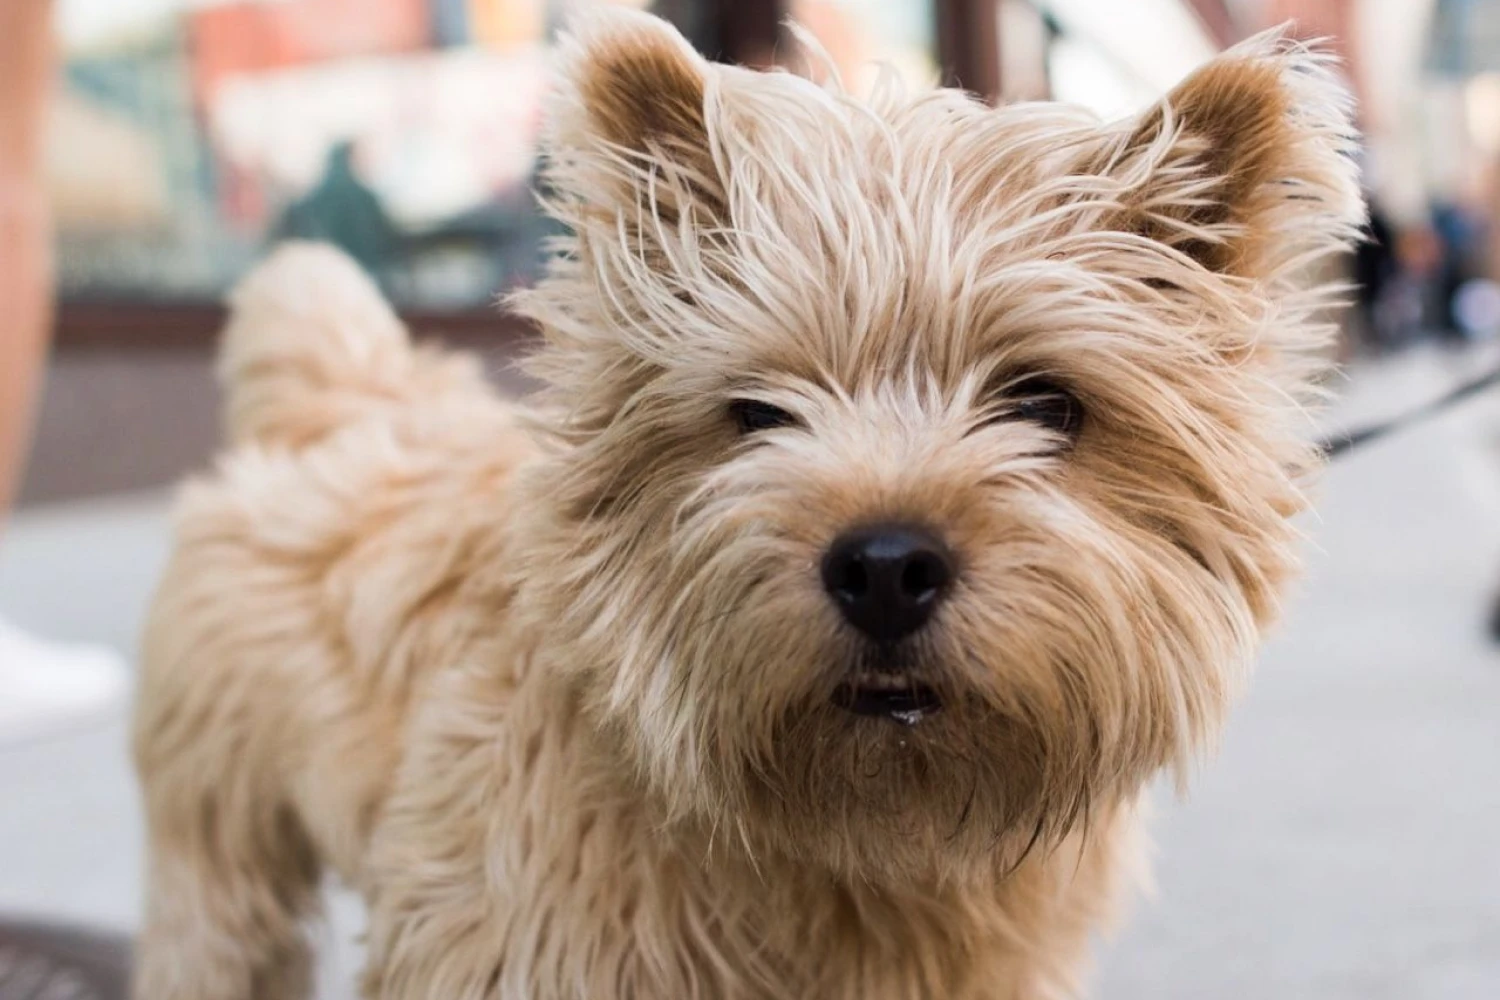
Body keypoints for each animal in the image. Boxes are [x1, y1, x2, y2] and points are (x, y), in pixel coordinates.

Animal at [135, 9, 1368, 1000]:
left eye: (1044, 403)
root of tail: (349, 395)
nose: (884, 566)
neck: (859, 838)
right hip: (219, 863)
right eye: (757, 412)